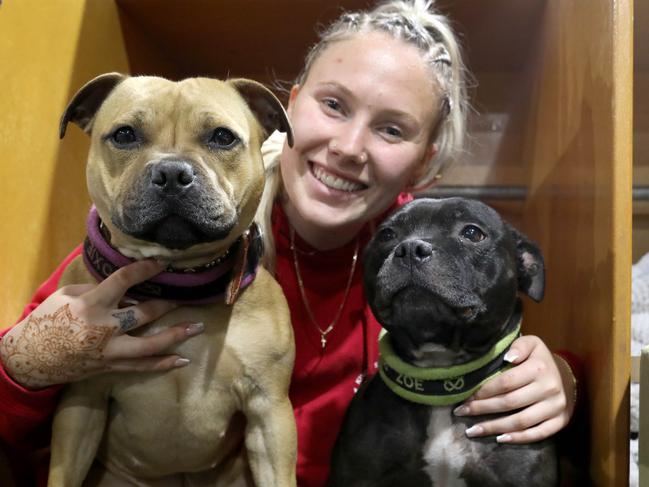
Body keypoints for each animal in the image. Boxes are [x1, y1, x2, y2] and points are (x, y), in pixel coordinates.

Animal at [48, 73, 296, 487]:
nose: (172, 174)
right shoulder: (82, 400)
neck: (179, 278)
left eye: (222, 137)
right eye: (125, 134)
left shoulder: (269, 413)